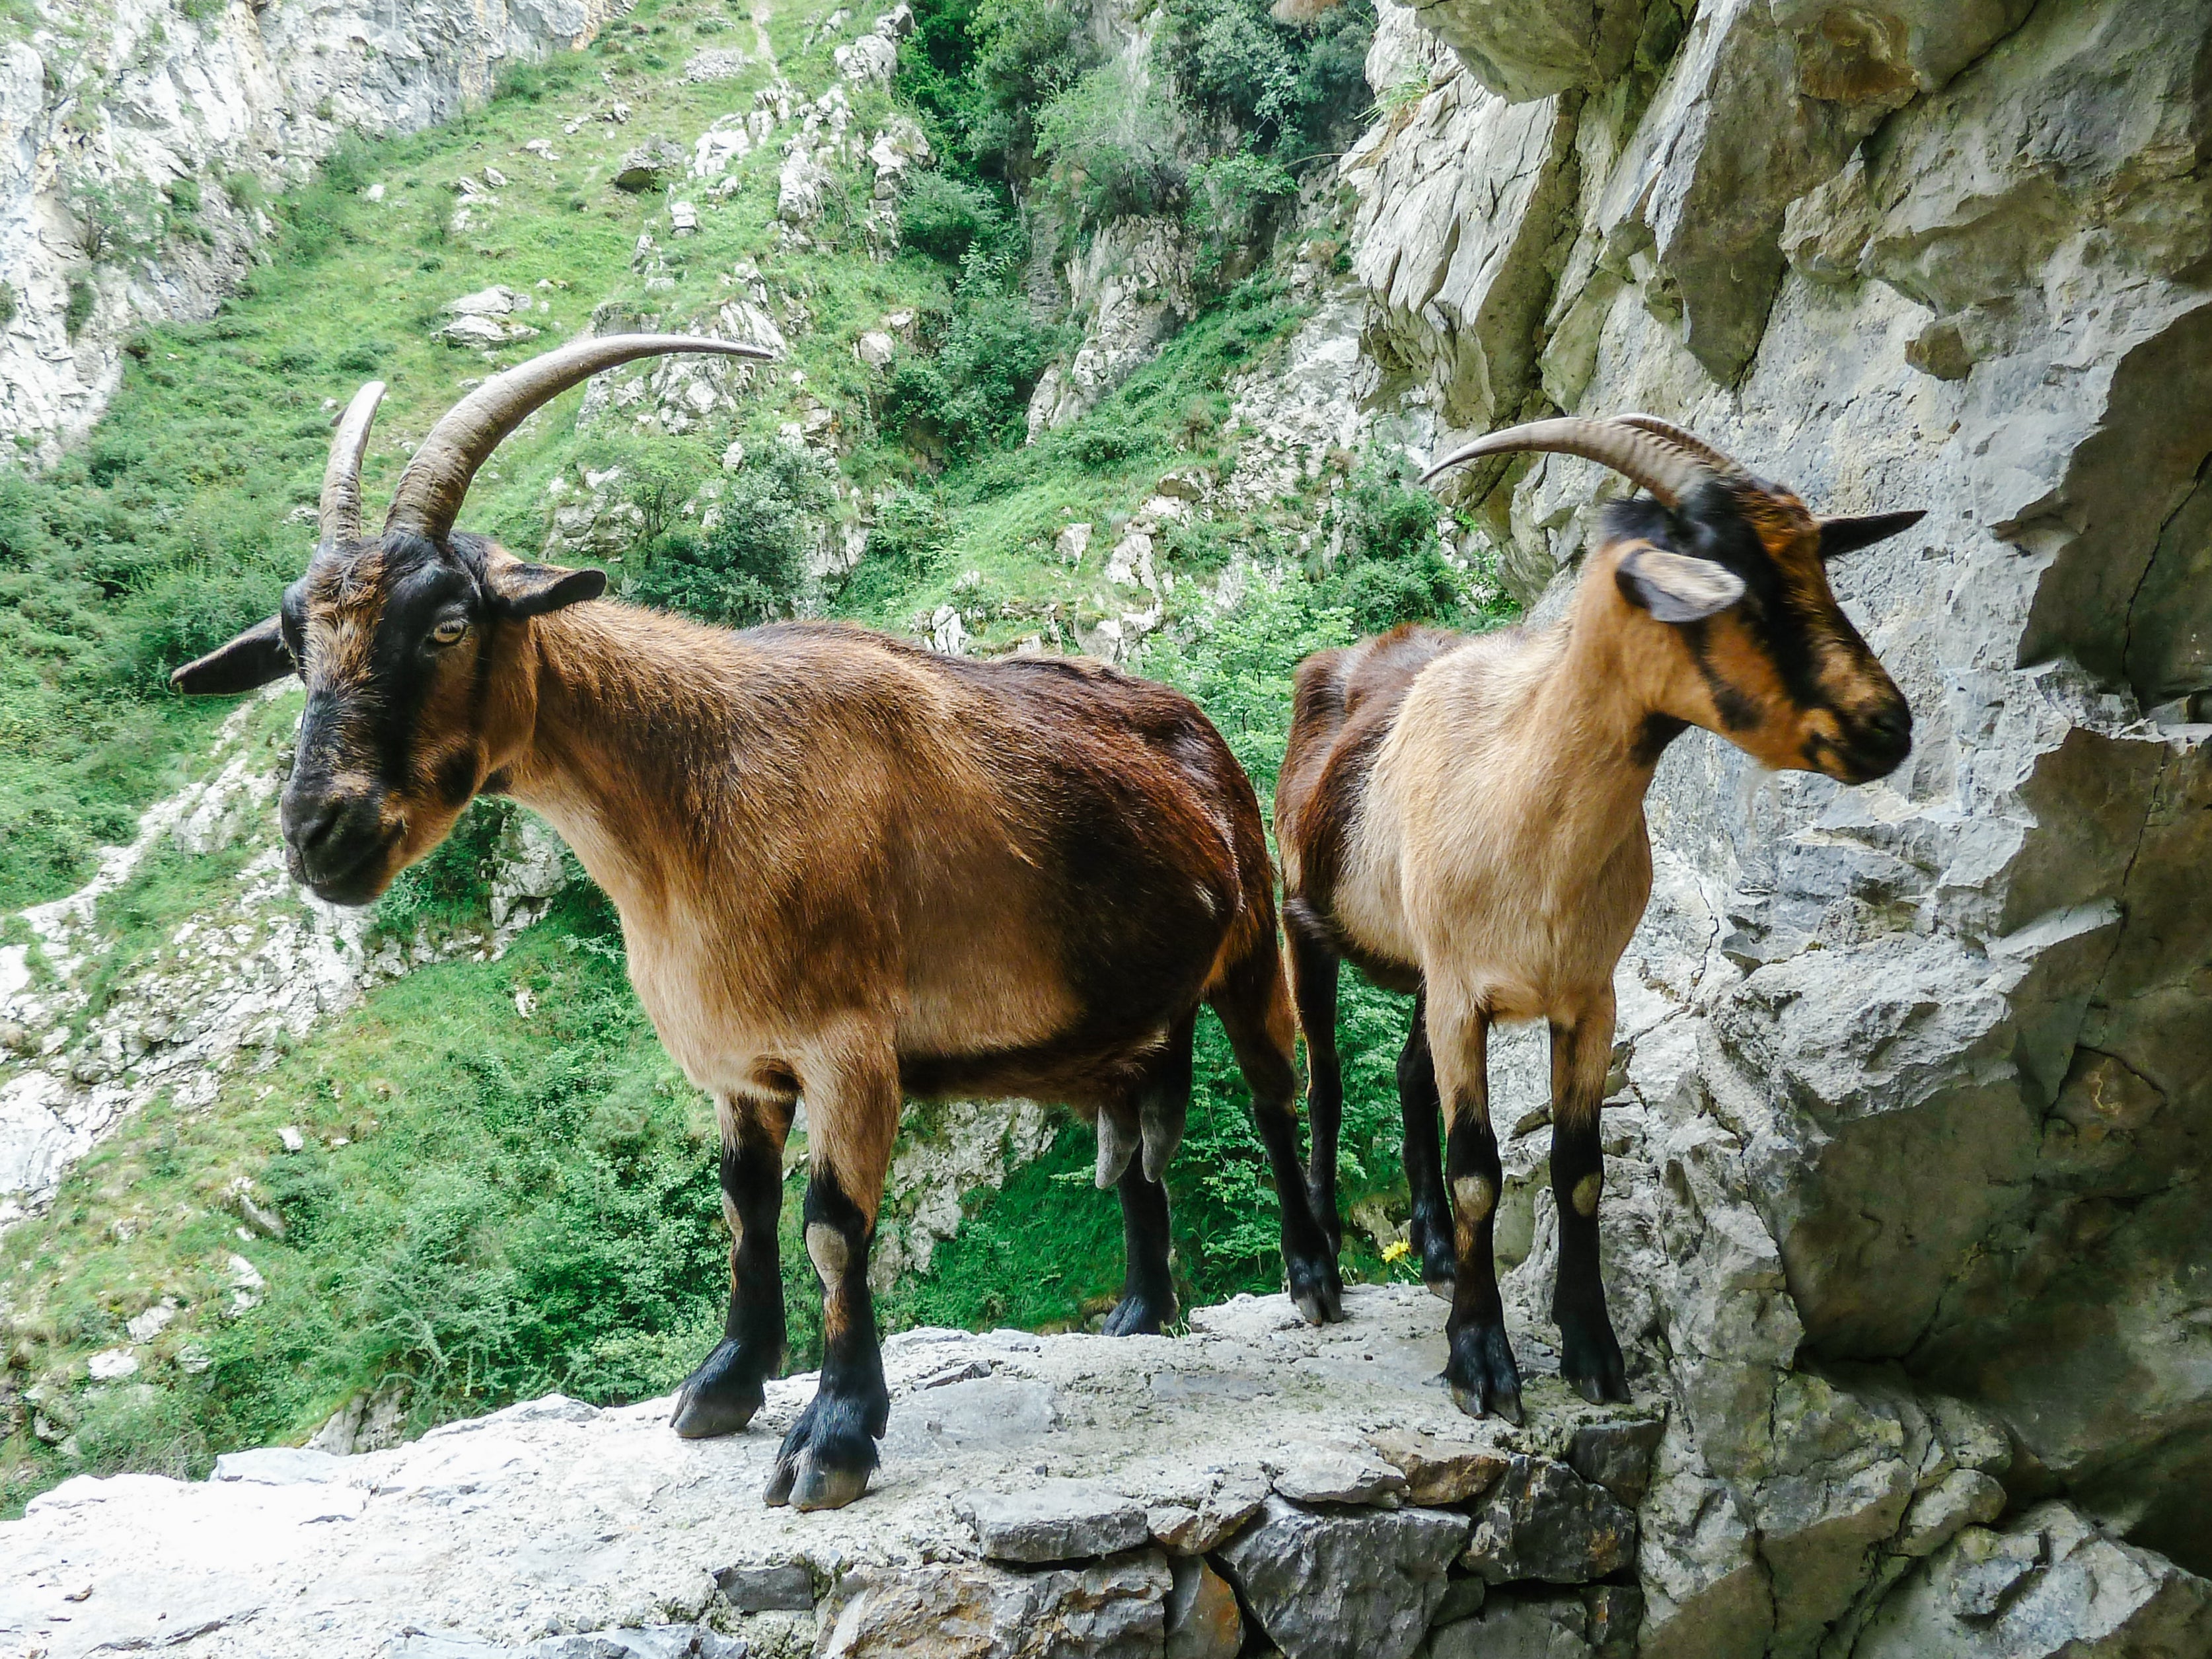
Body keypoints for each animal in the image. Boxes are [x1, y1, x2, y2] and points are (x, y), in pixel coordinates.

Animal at [172, 345, 1336, 1513]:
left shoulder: (851, 1051)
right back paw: (1141, 1311)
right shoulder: (741, 1064)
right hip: (1122, 1020)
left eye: (446, 625)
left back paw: (1314, 1281)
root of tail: (1200, 731)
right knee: (1135, 1144)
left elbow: (830, 1226)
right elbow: (742, 1209)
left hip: (1250, 948)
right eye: (296, 646)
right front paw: (725, 1384)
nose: (318, 833)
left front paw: (834, 1436)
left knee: (1275, 1094)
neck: (701, 792)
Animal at [1274, 416, 1929, 1415]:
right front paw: (1481, 1361)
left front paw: (1593, 1348)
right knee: (1326, 1079)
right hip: (1303, 917)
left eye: (1817, 566)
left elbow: (1579, 1172)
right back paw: (1320, 1272)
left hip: (1426, 970)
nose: (1885, 725)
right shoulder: (1464, 991)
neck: (1523, 804)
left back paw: (1433, 1250)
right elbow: (1479, 1172)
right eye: (1730, 588)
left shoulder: (1587, 997)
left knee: (1409, 1074)